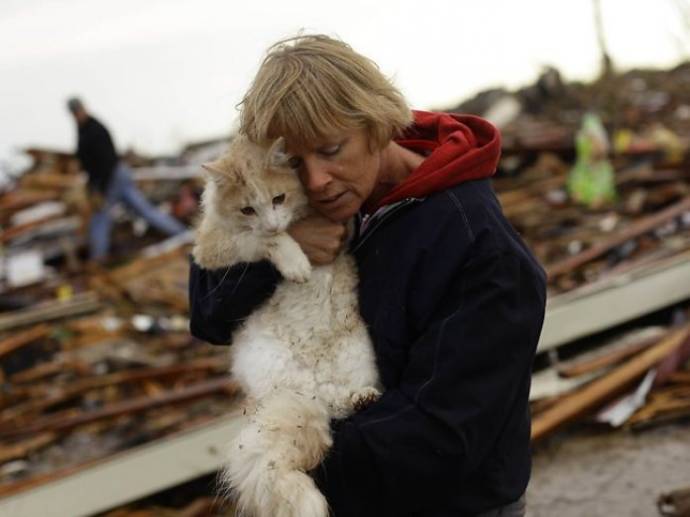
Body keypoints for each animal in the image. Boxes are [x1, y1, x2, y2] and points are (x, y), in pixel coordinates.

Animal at [191, 134, 378, 516]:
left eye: (278, 198)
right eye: (247, 210)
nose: (273, 222)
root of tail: (312, 395)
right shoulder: (214, 248)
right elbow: (262, 240)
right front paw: (296, 264)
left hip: (356, 356)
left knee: (344, 400)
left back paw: (362, 397)